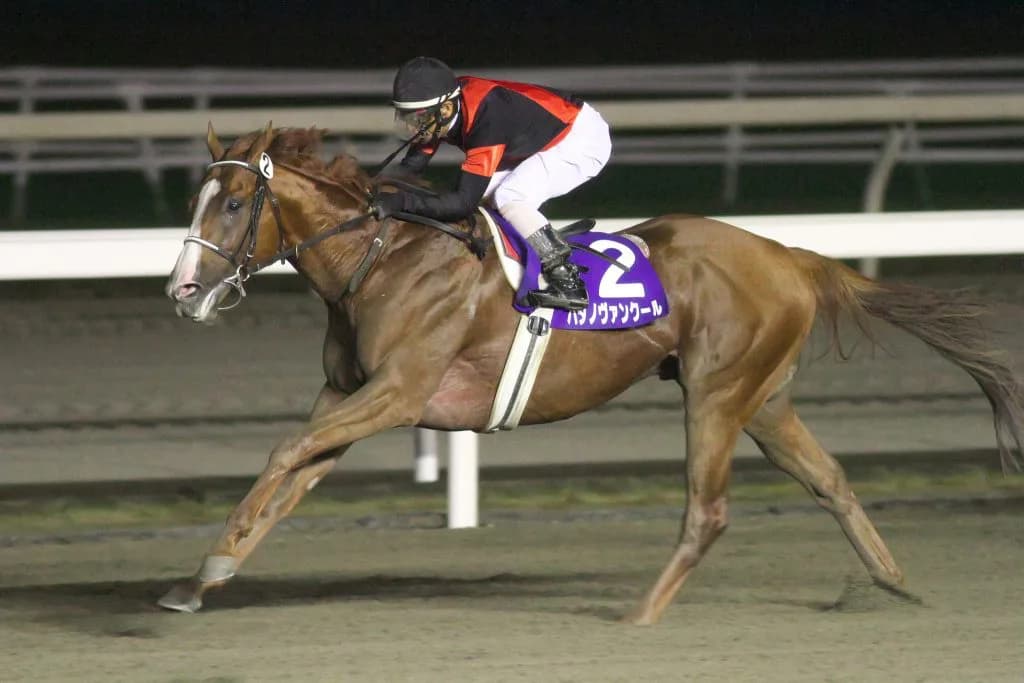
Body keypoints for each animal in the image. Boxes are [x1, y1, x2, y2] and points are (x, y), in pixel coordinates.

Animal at [161, 123, 1024, 625]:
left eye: (233, 203)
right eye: (199, 198)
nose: (182, 290)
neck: (384, 255)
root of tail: (789, 254)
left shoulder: (397, 394)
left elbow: (283, 454)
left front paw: (209, 567)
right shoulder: (350, 393)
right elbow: (289, 479)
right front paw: (202, 577)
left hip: (717, 392)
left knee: (707, 510)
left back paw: (640, 613)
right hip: (764, 398)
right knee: (830, 479)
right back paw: (895, 583)